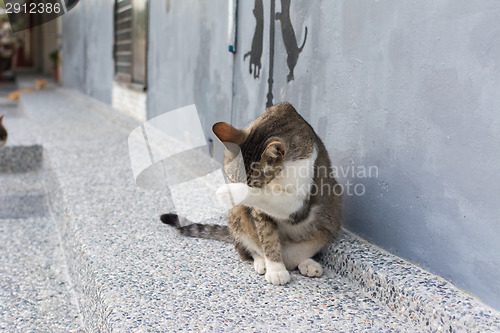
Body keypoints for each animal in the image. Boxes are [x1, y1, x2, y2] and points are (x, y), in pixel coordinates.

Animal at [162, 102, 342, 284]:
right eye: (231, 178)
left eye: (254, 184)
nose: (234, 187)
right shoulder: (259, 212)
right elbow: (267, 236)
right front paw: (275, 269)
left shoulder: (301, 202)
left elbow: (278, 200)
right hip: (236, 215)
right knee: (249, 248)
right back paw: (262, 261)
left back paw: (307, 263)